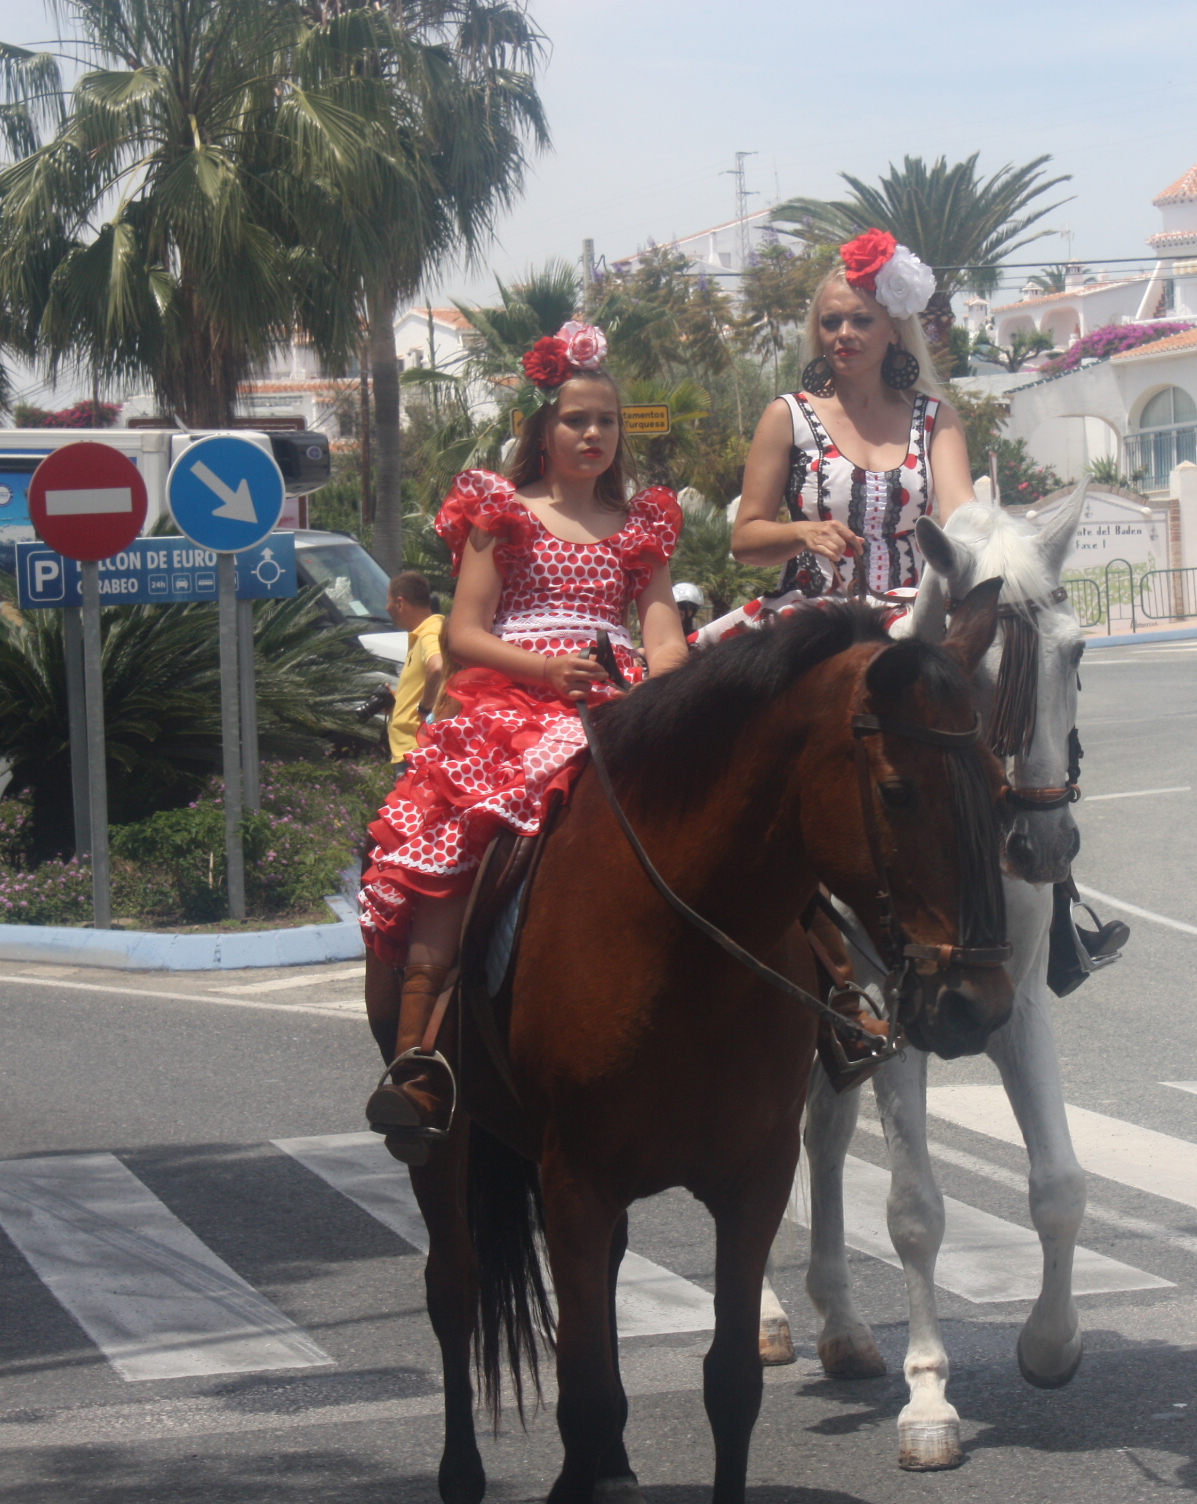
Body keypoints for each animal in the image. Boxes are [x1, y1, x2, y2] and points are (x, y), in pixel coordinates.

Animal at [403, 588, 1016, 1504]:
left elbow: (728, 1382)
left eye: (996, 787)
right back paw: (464, 1474)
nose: (978, 1005)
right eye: (898, 792)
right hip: (445, 1143)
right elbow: (582, 1389)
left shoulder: (751, 1177)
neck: (681, 940)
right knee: (456, 1288)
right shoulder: (574, 1179)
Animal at [758, 479, 1092, 1472]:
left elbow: (1058, 1185)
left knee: (821, 1138)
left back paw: (840, 1326)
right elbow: (914, 1212)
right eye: (973, 677)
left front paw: (1049, 1345)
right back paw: (767, 1321)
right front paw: (930, 1400)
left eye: (1076, 652)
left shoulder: (1013, 1006)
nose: (1044, 846)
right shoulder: (894, 1011)